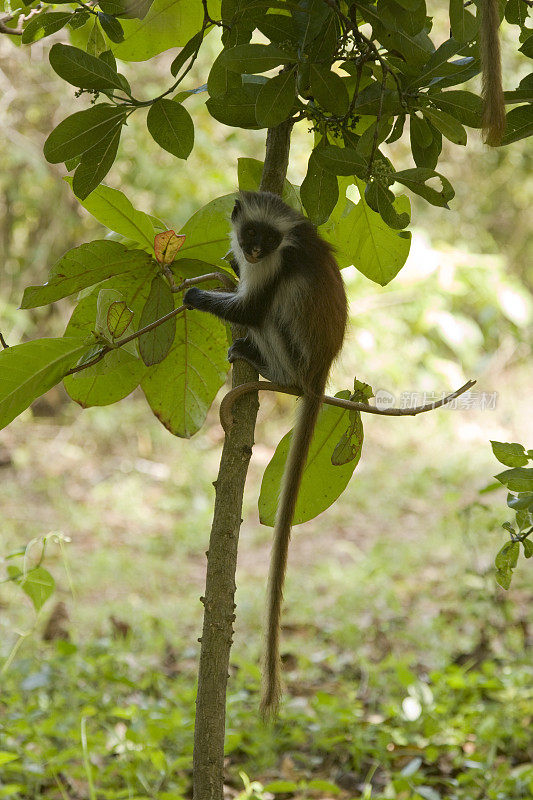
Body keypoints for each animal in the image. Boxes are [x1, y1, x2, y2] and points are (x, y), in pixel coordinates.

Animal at [185, 191, 348, 716]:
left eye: (270, 240)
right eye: (252, 234)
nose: (253, 252)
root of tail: (318, 371)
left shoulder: (277, 264)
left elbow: (253, 306)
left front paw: (195, 296)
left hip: (293, 354)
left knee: (271, 310)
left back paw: (263, 363)